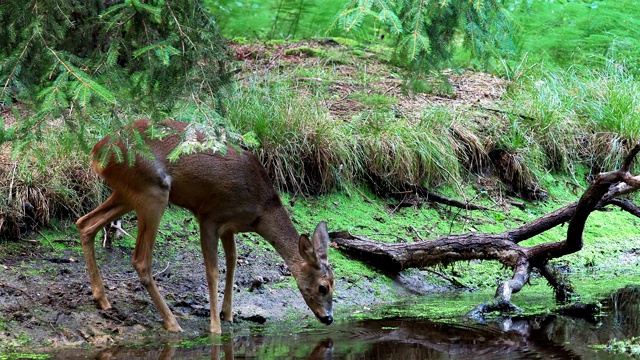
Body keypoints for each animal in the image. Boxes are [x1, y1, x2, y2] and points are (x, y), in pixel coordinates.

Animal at [75, 119, 336, 334]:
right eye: (323, 287)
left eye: (334, 284)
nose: (329, 318)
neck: (261, 210)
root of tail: (97, 151)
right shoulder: (210, 216)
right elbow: (213, 271)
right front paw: (215, 327)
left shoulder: (230, 227)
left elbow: (232, 261)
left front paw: (228, 314)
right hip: (153, 190)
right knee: (140, 260)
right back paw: (172, 323)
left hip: (127, 192)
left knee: (85, 223)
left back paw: (102, 299)